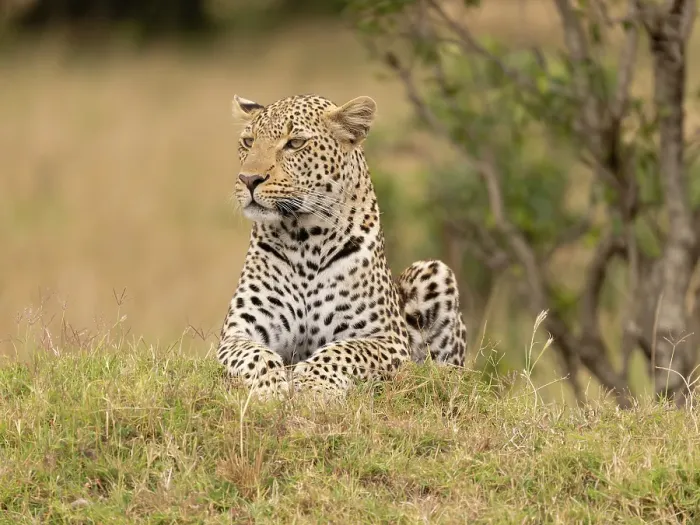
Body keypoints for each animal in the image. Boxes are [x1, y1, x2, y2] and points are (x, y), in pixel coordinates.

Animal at [216, 93, 468, 400]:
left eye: (295, 143)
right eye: (248, 142)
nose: (249, 179)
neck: (303, 237)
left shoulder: (386, 339)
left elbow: (341, 351)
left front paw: (312, 386)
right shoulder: (238, 332)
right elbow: (255, 355)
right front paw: (270, 388)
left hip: (433, 271)